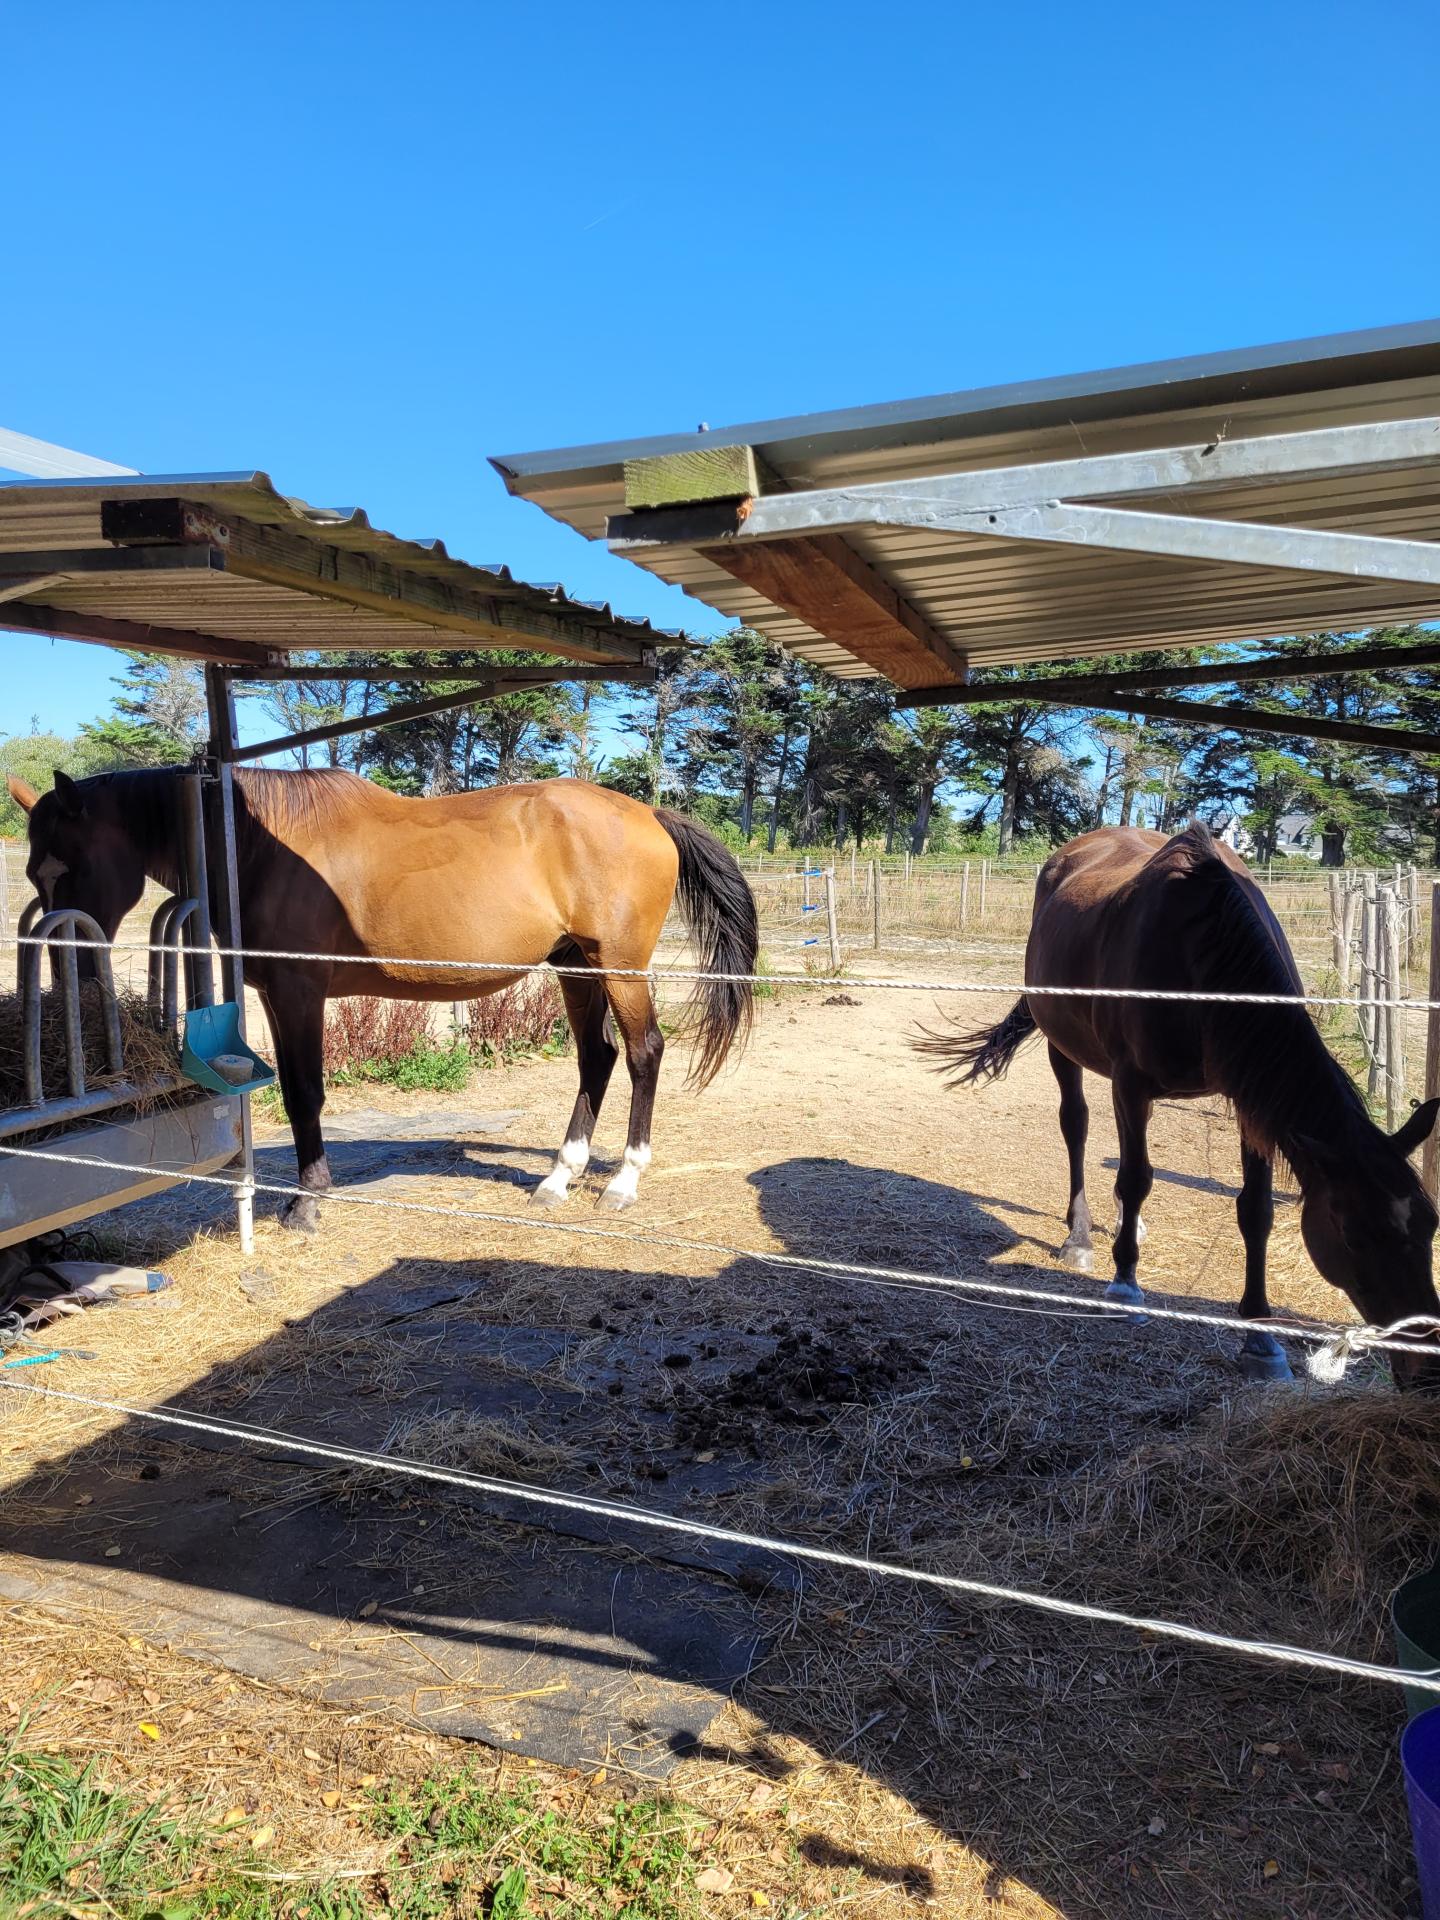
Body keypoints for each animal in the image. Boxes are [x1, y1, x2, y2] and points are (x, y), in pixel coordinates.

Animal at [7, 766, 758, 1230]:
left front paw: (307, 1204)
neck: (255, 843)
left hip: (618, 966)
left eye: (68, 866)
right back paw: (558, 1177)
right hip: (576, 965)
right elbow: (294, 1092)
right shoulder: (276, 994)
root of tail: (649, 813)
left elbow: (306, 1093)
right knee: (595, 1059)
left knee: (642, 1053)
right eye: (34, 872)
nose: (75, 980)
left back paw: (623, 1182)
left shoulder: (300, 991)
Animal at [921, 823, 1440, 1390]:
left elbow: (1254, 1210)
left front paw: (1261, 1338)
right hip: (1064, 1047)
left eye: (1430, 1227)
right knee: (1077, 1127)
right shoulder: (1131, 1083)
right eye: (1353, 1235)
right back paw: (1080, 1237)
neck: (1204, 951)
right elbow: (1136, 1176)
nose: (1425, 1364)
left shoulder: (1250, 1101)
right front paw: (1125, 1285)